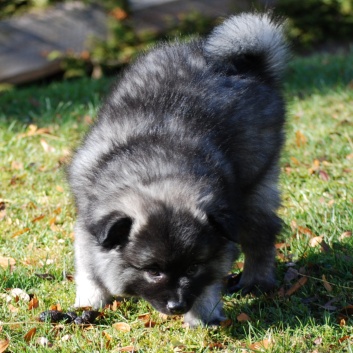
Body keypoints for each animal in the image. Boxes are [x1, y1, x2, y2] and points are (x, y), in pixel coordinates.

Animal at [67, 12, 288, 326]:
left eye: (194, 267)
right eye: (153, 270)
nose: (177, 306)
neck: (156, 171)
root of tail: (250, 66)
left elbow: (210, 277)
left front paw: (203, 314)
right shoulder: (88, 225)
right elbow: (88, 268)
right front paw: (90, 301)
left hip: (253, 185)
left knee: (262, 233)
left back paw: (256, 281)